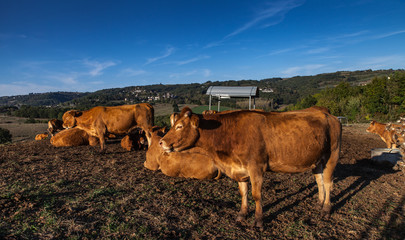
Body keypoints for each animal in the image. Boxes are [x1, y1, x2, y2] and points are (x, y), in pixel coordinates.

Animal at [159, 106, 340, 228]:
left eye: (180, 126)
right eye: (174, 124)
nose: (161, 142)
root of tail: (326, 113)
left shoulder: (256, 167)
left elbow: (256, 195)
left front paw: (258, 220)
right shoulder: (240, 169)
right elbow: (243, 193)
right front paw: (242, 214)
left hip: (332, 155)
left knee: (328, 183)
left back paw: (326, 209)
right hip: (317, 160)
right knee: (319, 181)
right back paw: (319, 203)